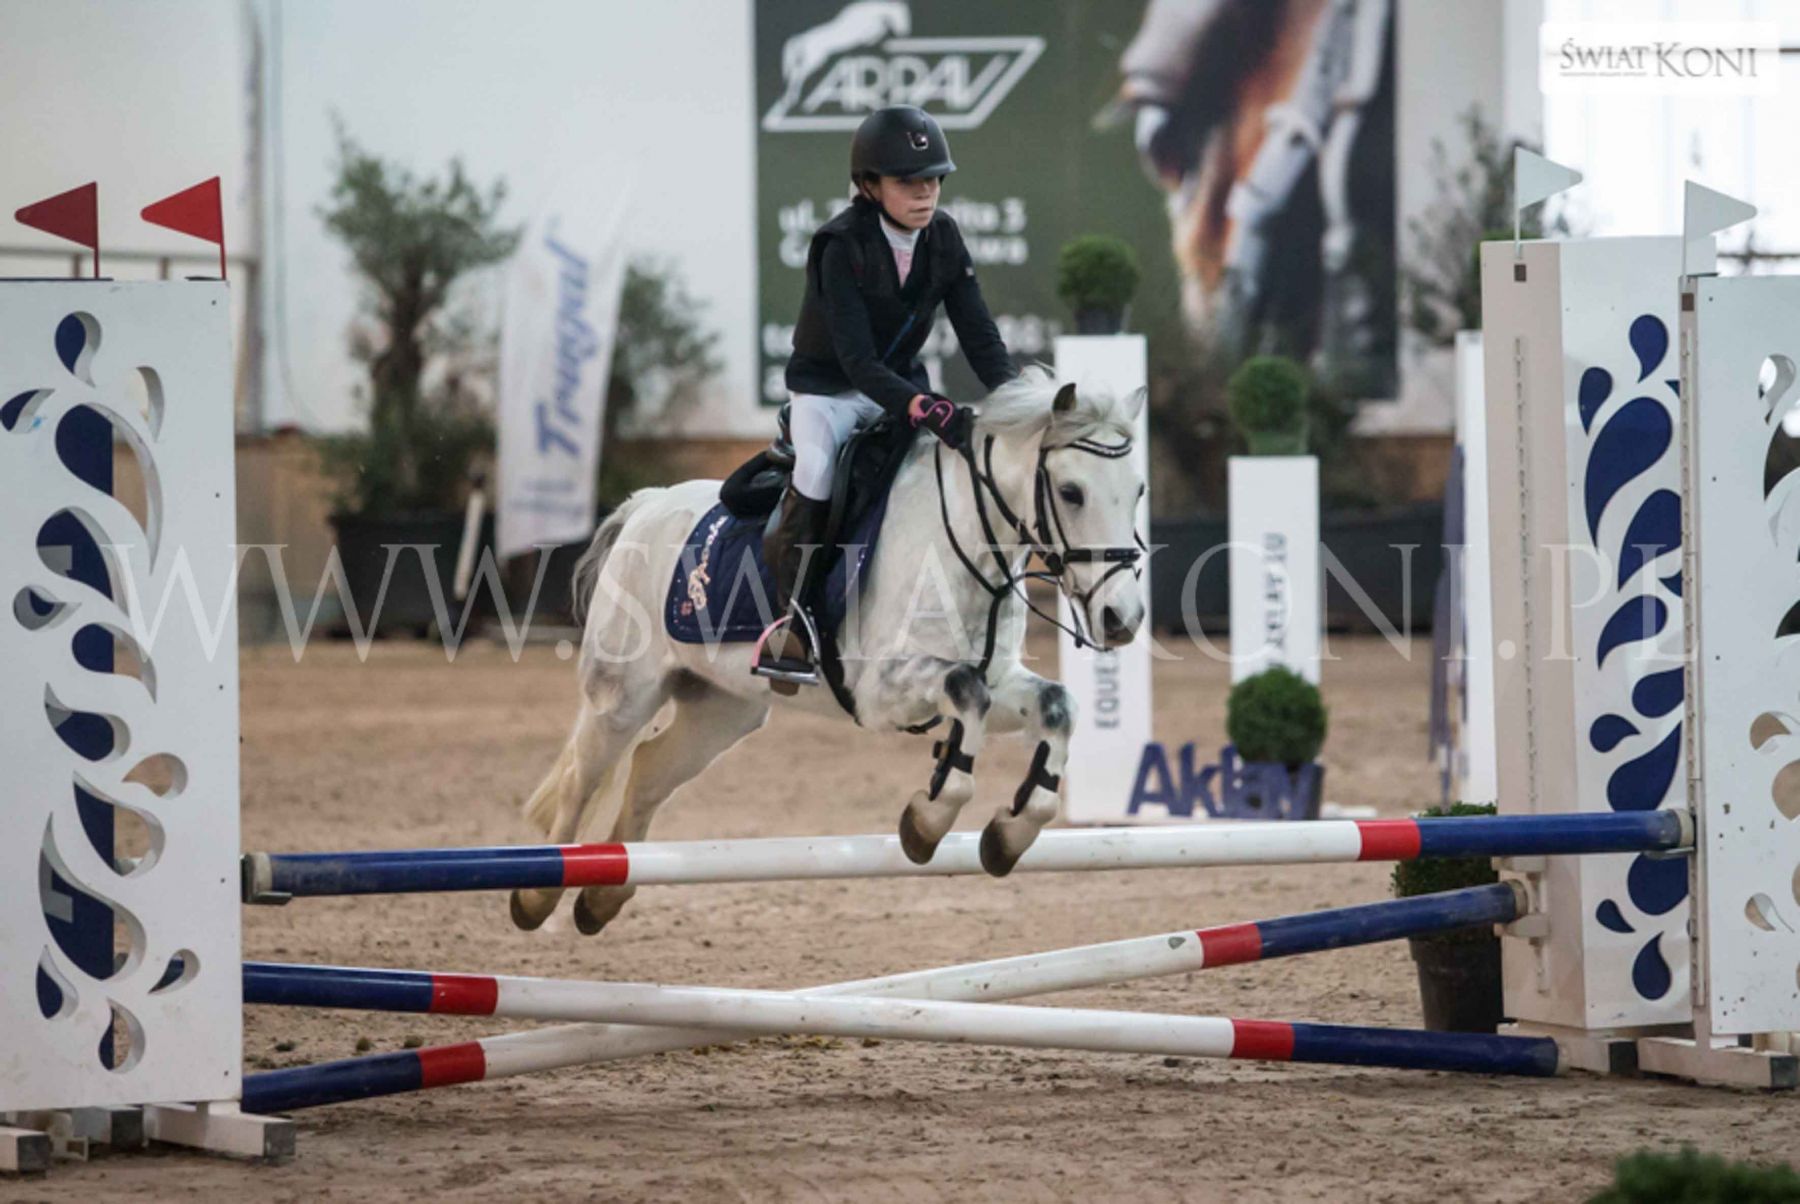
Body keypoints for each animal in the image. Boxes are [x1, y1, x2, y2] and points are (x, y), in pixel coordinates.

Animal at [508, 366, 1148, 936]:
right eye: (1070, 492)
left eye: (1138, 490)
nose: (1122, 620)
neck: (966, 540)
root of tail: (645, 504)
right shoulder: (883, 690)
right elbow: (967, 696)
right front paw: (927, 820)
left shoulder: (1001, 677)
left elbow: (1055, 707)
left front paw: (1007, 834)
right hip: (621, 696)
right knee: (582, 780)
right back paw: (537, 894)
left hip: (722, 710)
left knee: (647, 772)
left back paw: (601, 898)